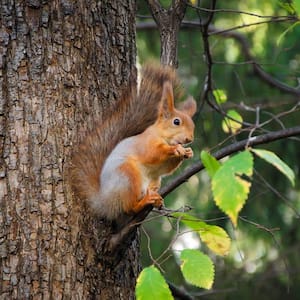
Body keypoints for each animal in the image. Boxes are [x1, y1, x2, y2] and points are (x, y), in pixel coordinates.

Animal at [71, 64, 196, 220]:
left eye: (193, 125)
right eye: (176, 122)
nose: (189, 139)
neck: (163, 136)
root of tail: (105, 202)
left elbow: (167, 168)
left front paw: (188, 152)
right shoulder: (145, 143)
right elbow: (153, 153)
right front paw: (175, 149)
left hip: (154, 180)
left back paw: (155, 199)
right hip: (127, 176)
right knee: (129, 208)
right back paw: (144, 202)